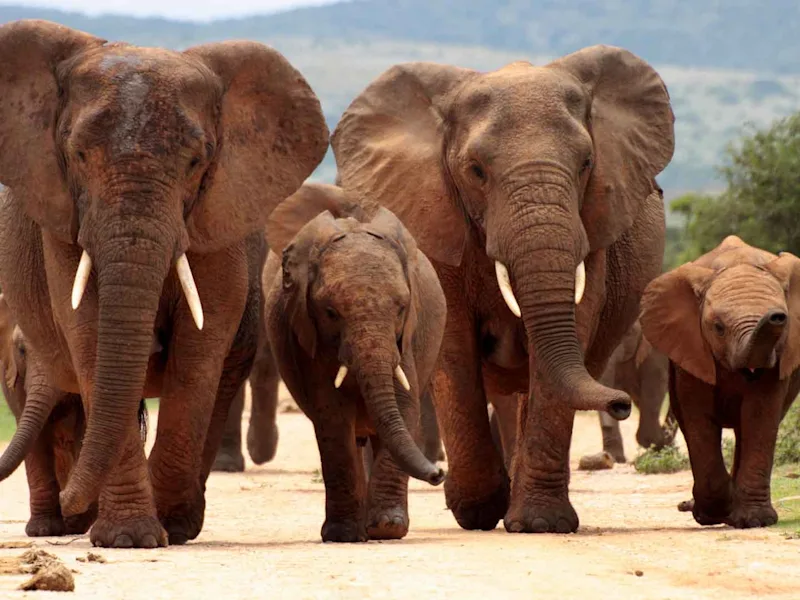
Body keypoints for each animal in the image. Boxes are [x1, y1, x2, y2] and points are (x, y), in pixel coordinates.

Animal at [0, 20, 328, 547]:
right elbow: (90, 336)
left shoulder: (218, 217)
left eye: (197, 161)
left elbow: (200, 349)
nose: (73, 501)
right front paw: (128, 539)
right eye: (78, 154)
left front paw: (164, 527)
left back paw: (178, 521)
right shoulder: (64, 217)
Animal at [263, 183, 447, 542]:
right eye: (330, 312)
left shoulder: (407, 337)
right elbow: (332, 415)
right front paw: (344, 534)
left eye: (402, 308)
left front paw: (387, 528)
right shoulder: (308, 335)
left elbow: (404, 404)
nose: (439, 473)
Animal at [331, 45, 675, 533]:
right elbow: (453, 344)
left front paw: (540, 523)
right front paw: (477, 510)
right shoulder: (434, 217)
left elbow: (571, 329)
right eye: (476, 171)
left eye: (587, 164)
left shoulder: (593, 230)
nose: (621, 403)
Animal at [640, 235, 800, 529]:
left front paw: (754, 520)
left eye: (784, 322)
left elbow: (759, 416)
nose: (776, 316)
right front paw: (712, 514)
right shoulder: (692, 348)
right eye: (718, 328)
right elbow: (698, 418)